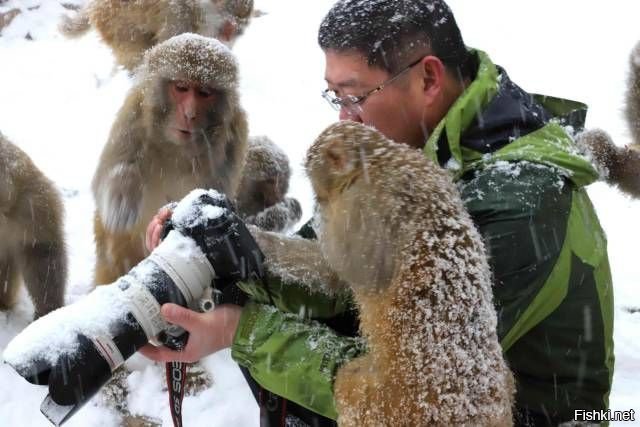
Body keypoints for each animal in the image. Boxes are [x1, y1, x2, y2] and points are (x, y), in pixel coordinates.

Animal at [60, 0, 254, 71]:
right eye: (228, 27)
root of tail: (93, 6)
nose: (230, 34)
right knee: (135, 53)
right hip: (114, 24)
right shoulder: (177, 17)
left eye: (239, 29)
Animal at [92, 35, 248, 286]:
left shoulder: (236, 132)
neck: (177, 148)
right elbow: (104, 181)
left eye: (204, 93)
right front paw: (123, 198)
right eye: (181, 88)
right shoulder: (133, 115)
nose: (190, 114)